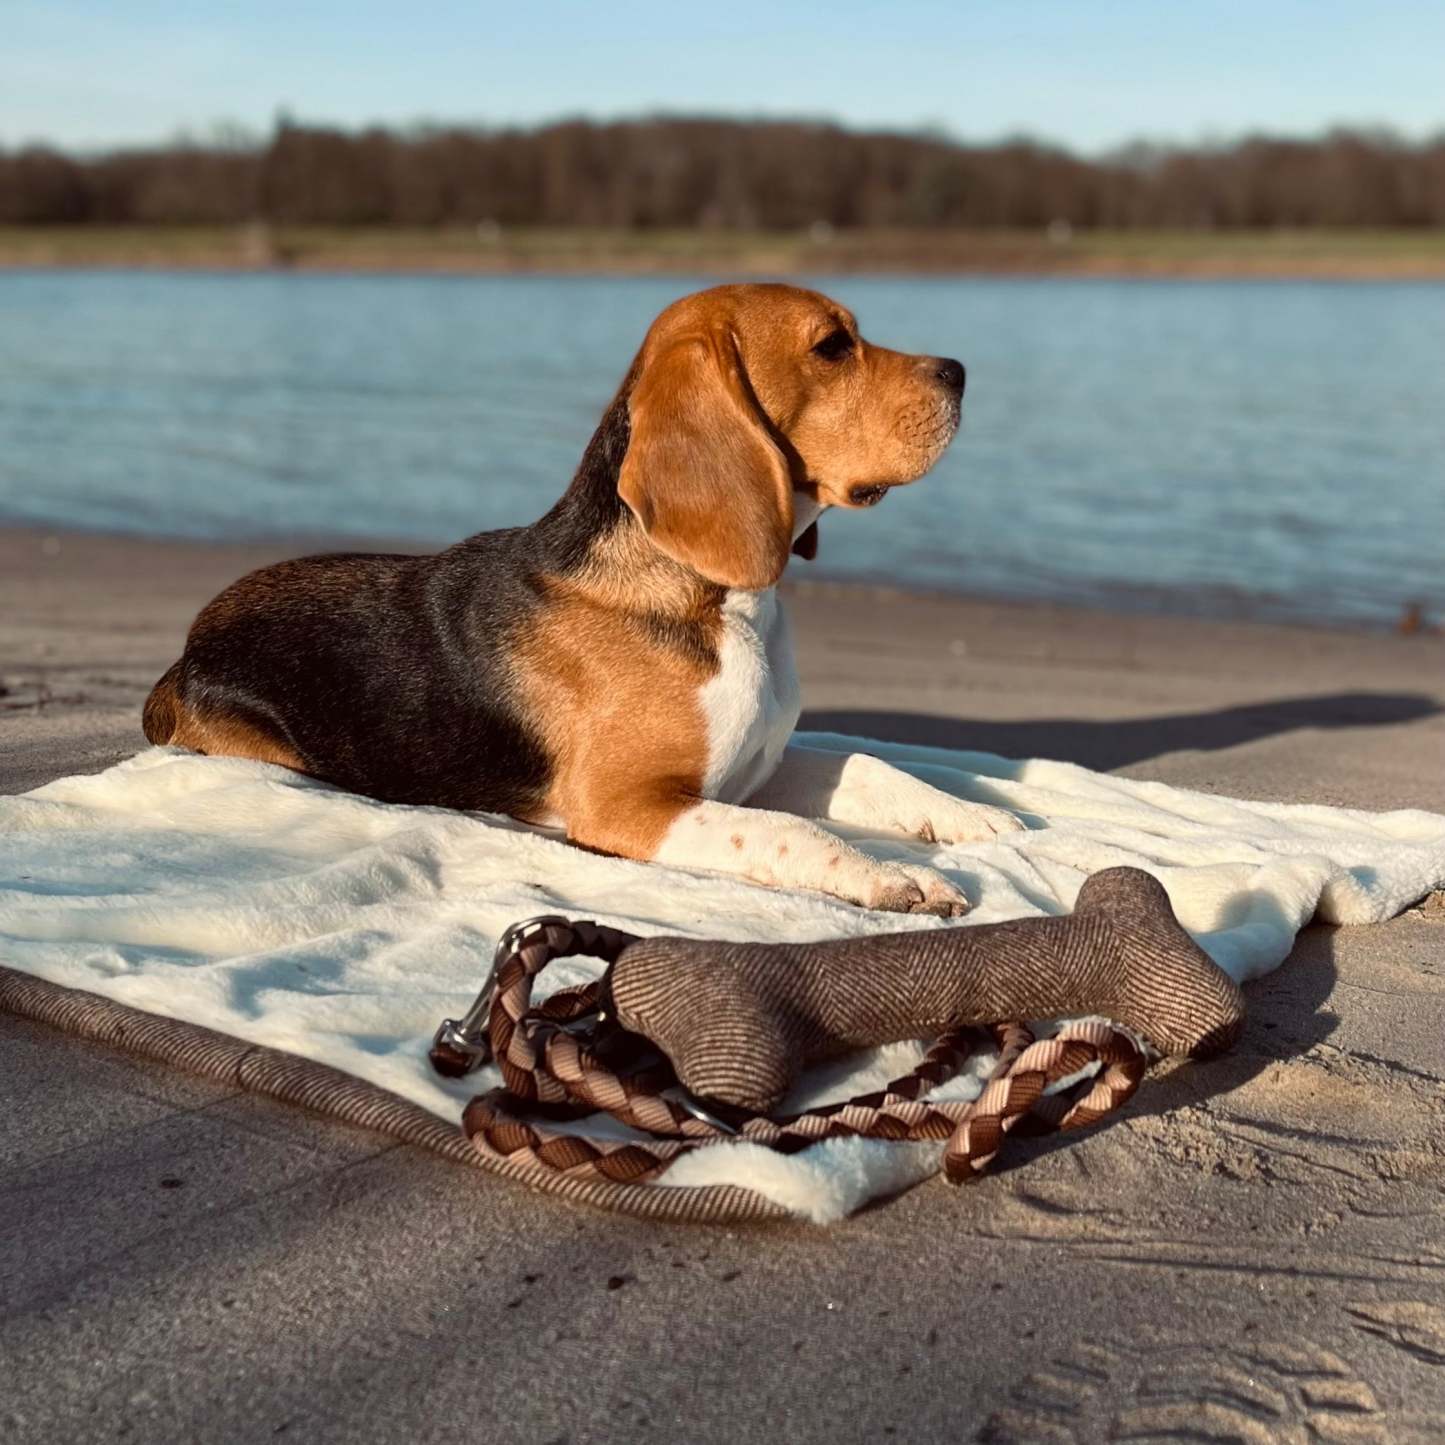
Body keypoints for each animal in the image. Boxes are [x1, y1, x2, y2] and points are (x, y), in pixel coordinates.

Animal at [143, 283, 1017, 913]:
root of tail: (182, 654)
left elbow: (863, 764)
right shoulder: (631, 806)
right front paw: (890, 876)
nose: (960, 371)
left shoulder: (752, 768)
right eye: (832, 346)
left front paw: (969, 813)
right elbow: (788, 833)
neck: (715, 600)